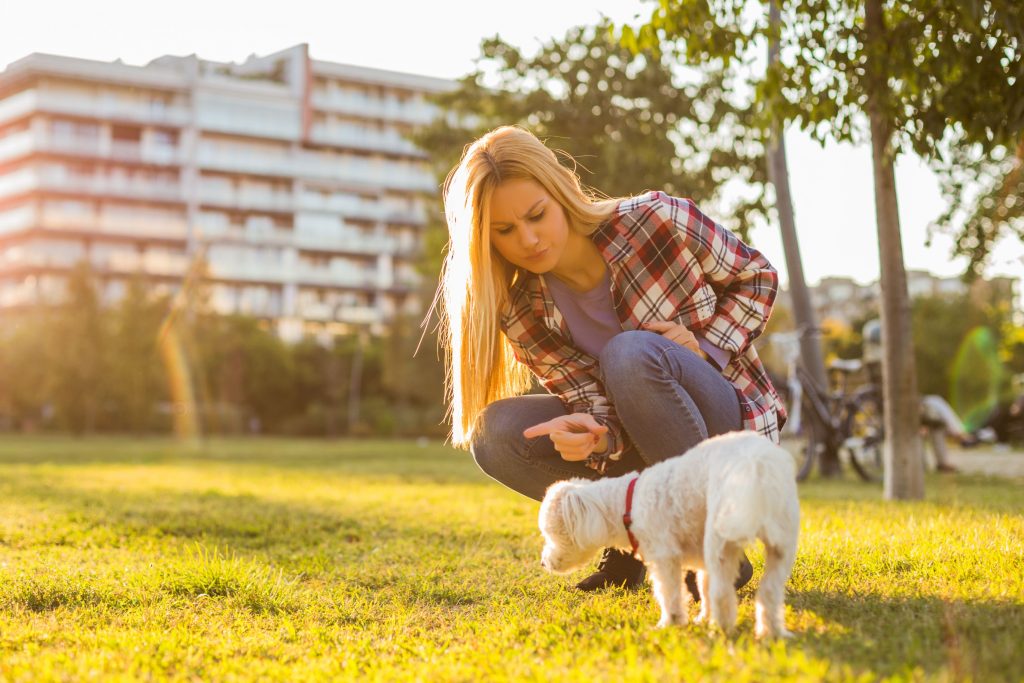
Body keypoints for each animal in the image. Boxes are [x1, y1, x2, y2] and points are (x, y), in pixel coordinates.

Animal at [536, 430, 798, 638]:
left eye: (551, 533)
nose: (543, 563)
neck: (629, 503)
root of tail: (756, 465)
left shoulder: (664, 556)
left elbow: (669, 592)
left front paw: (670, 623)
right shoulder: (699, 556)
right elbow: (703, 585)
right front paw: (702, 618)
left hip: (721, 539)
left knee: (722, 593)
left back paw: (720, 629)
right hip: (780, 542)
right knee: (770, 591)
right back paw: (770, 632)